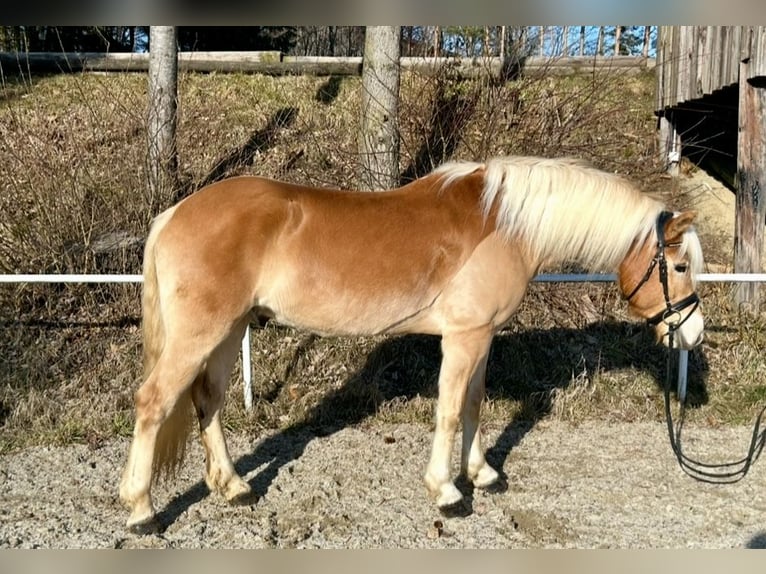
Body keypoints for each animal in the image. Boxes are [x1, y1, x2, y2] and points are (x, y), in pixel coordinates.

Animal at [117, 155, 704, 532]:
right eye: (678, 266)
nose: (692, 333)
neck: (505, 224)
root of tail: (174, 213)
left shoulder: (481, 338)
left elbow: (474, 404)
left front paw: (482, 474)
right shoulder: (464, 338)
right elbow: (448, 410)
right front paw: (446, 492)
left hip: (228, 332)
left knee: (208, 402)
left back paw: (234, 486)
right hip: (201, 334)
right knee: (153, 402)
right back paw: (141, 509)